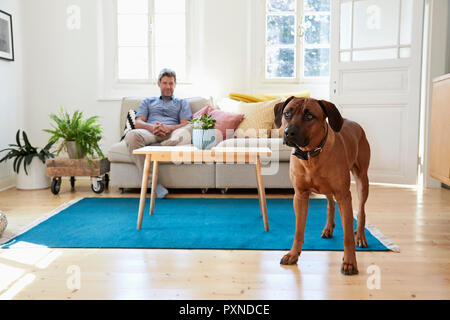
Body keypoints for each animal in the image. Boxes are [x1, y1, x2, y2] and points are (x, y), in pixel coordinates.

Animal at [272, 97, 370, 276]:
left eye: (309, 116)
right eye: (287, 113)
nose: (288, 132)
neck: (310, 155)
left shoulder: (344, 196)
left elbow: (347, 236)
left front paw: (349, 262)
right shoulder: (300, 195)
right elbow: (298, 230)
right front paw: (293, 254)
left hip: (362, 179)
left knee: (361, 210)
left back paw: (360, 235)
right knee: (330, 203)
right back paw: (328, 228)